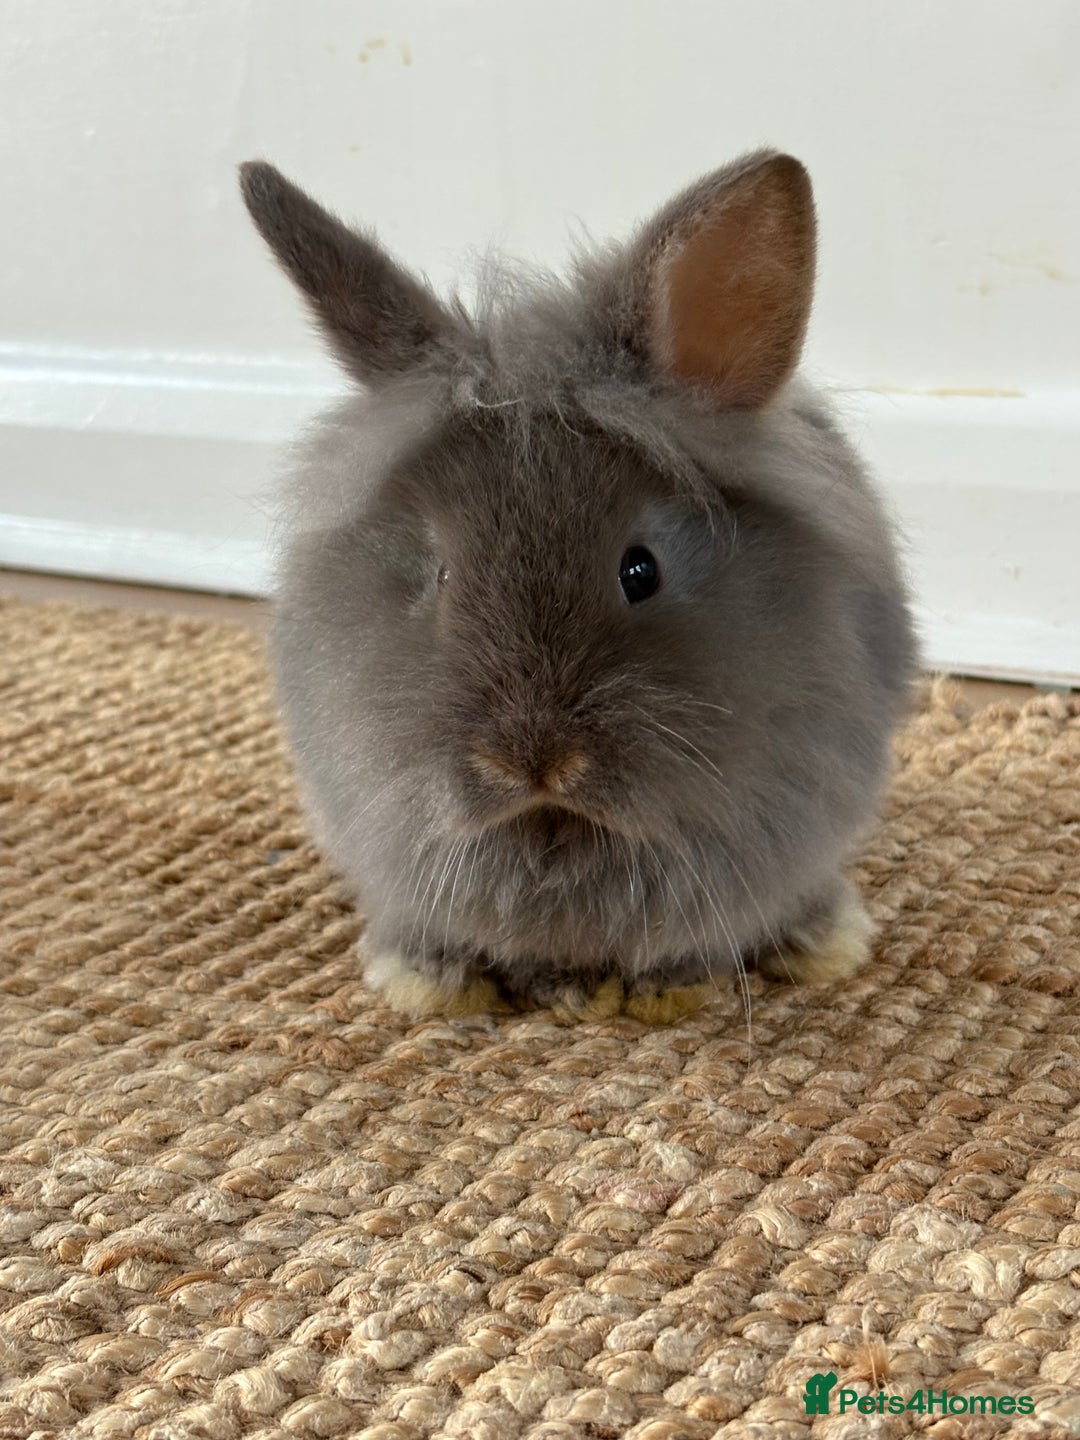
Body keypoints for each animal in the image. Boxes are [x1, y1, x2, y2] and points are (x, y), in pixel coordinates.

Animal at [239, 149, 917, 1024]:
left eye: (640, 570)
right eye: (440, 573)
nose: (530, 760)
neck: (557, 828)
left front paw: (666, 990)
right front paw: (427, 981)